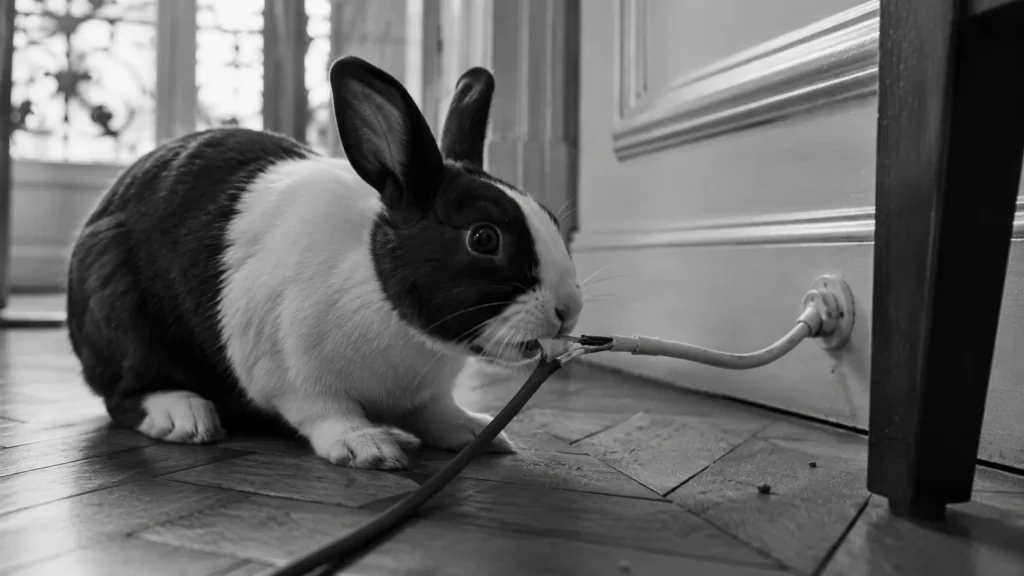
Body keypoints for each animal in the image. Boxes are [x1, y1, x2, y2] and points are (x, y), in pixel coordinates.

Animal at [65, 56, 584, 470]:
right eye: (484, 238)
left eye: (552, 219)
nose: (570, 309)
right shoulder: (295, 376)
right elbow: (326, 413)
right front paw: (368, 447)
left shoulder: (428, 397)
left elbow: (438, 413)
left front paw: (478, 430)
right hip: (116, 307)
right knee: (122, 394)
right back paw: (183, 415)